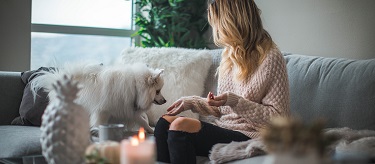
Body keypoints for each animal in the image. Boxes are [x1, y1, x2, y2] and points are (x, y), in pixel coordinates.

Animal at [31, 62, 167, 134]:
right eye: (157, 91)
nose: (165, 100)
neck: (135, 87)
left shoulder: (127, 109)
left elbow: (142, 121)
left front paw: (151, 130)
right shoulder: (104, 110)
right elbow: (100, 122)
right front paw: (97, 131)